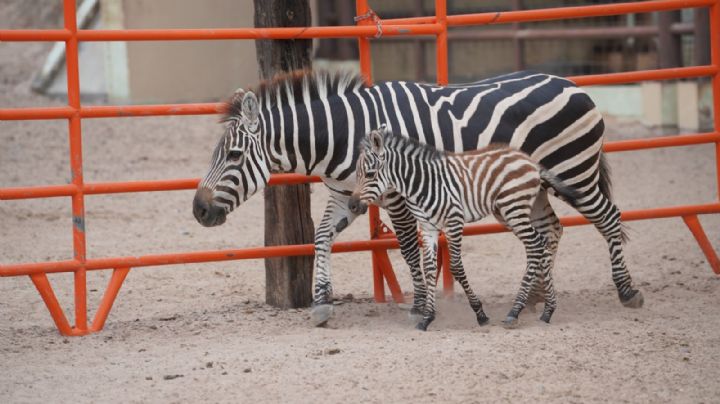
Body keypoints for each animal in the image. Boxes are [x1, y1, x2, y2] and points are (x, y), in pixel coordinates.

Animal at [349, 126, 583, 330]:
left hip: (513, 208)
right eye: (357, 174)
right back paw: (548, 310)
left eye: (369, 174)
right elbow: (429, 268)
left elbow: (456, 268)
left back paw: (515, 312)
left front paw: (480, 313)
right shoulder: (428, 227)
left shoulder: (454, 222)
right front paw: (427, 318)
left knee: (535, 245)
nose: (352, 205)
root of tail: (530, 160)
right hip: (514, 211)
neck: (422, 184)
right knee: (541, 244)